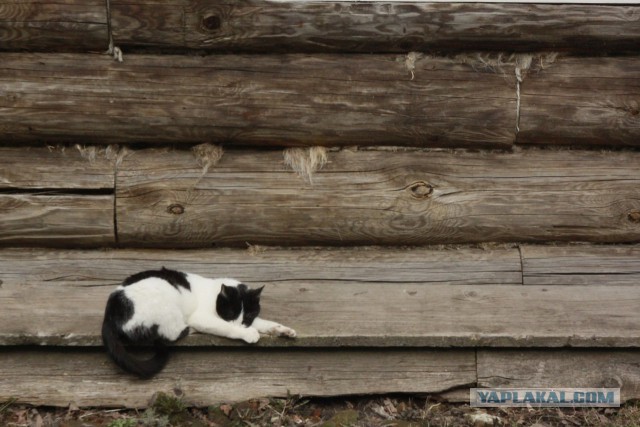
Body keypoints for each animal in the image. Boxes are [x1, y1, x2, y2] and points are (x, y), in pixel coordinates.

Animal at [102, 270, 298, 380]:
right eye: (230, 313)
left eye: (248, 314)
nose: (242, 325)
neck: (214, 294)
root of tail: (110, 309)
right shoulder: (203, 317)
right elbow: (227, 327)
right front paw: (249, 333)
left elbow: (262, 322)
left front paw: (282, 330)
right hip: (168, 302)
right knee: (172, 332)